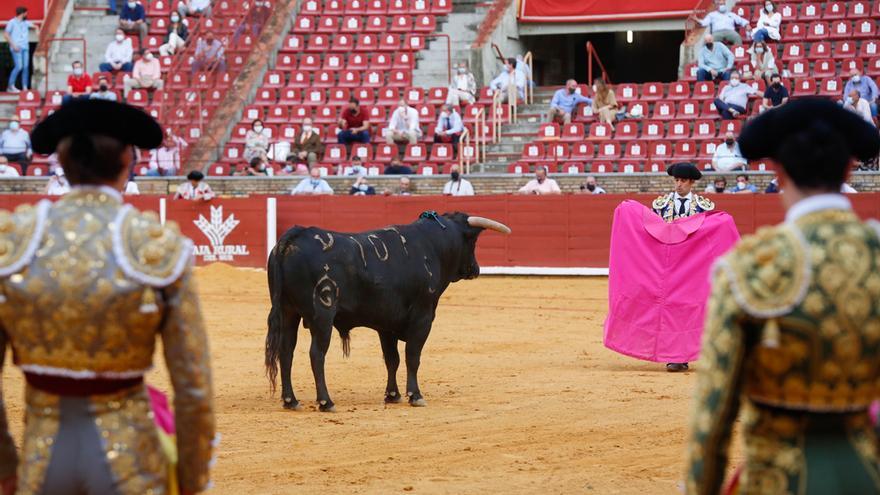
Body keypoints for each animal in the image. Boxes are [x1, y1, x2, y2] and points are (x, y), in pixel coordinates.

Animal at [262, 211, 508, 412]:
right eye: (473, 241)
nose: (475, 269)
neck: (432, 247)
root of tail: (295, 235)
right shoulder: (423, 317)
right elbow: (412, 357)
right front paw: (415, 395)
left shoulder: (386, 325)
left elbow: (392, 359)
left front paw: (392, 395)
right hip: (322, 315)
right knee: (316, 354)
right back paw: (326, 402)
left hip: (288, 313)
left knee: (286, 351)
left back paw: (291, 400)